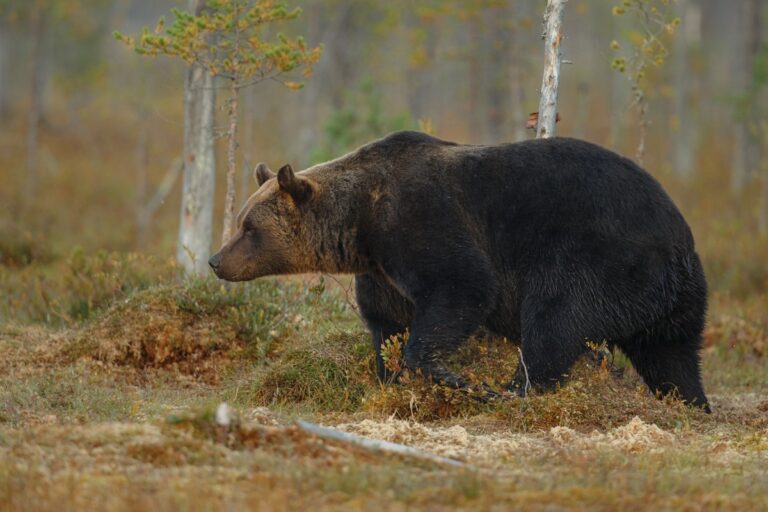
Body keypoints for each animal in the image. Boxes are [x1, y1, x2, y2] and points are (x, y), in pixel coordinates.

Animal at [208, 131, 710, 411]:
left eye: (249, 227)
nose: (215, 260)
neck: (360, 224)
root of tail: (679, 241)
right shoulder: (381, 272)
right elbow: (386, 325)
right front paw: (390, 377)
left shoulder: (423, 221)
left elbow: (463, 287)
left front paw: (453, 378)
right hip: (671, 299)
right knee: (672, 356)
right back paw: (690, 405)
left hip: (597, 257)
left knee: (554, 322)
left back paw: (513, 390)